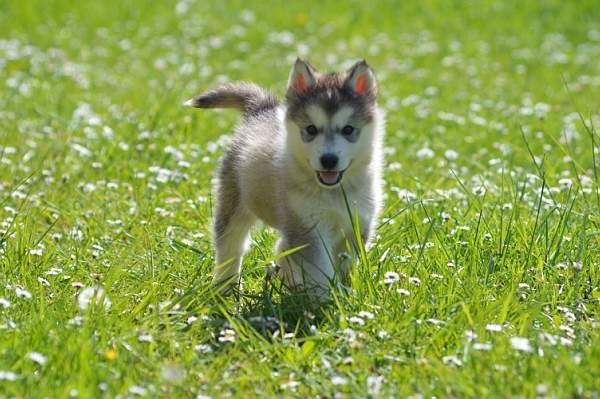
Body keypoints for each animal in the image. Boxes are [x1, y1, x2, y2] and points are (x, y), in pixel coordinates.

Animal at [185, 58, 386, 296]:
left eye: (348, 129)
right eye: (311, 129)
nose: (329, 160)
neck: (334, 192)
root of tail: (262, 110)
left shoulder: (356, 224)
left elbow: (344, 264)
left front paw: (343, 292)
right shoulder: (308, 228)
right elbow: (320, 270)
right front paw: (325, 298)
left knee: (282, 247)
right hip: (235, 201)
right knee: (231, 245)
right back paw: (226, 286)